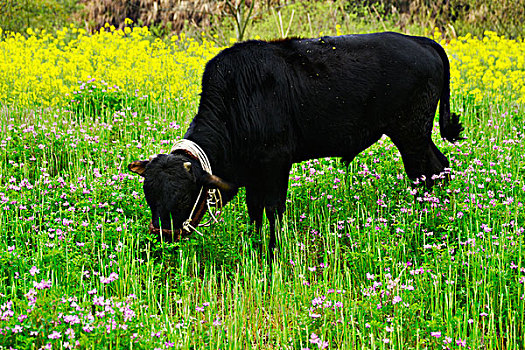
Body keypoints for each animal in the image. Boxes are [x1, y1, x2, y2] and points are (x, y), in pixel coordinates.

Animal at [129, 32, 460, 254]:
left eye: (184, 197)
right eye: (149, 195)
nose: (161, 237)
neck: (238, 99)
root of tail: (420, 41)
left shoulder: (276, 164)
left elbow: (272, 210)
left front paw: (272, 251)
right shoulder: (254, 173)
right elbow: (255, 211)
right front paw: (255, 244)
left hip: (411, 133)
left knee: (423, 175)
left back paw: (423, 217)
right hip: (418, 135)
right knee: (439, 167)